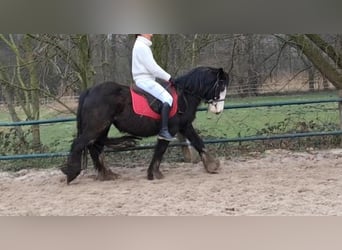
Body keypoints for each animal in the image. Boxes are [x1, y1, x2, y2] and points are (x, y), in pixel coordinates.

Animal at [61, 66, 230, 184]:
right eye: (221, 87)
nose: (218, 110)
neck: (184, 96)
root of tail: (89, 91)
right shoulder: (171, 129)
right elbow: (160, 149)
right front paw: (153, 173)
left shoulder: (185, 126)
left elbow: (198, 142)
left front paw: (212, 165)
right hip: (97, 126)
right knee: (81, 144)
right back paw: (72, 173)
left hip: (103, 126)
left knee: (95, 145)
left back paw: (108, 171)